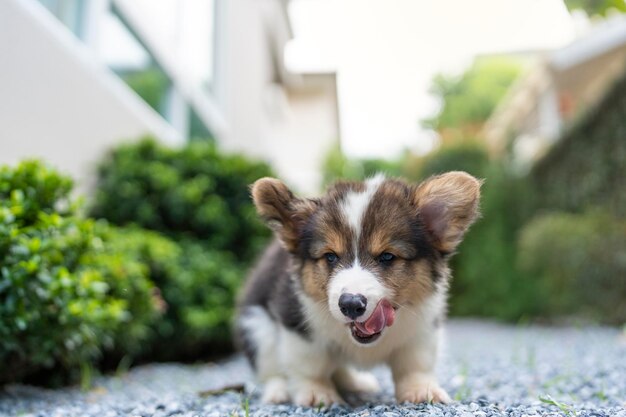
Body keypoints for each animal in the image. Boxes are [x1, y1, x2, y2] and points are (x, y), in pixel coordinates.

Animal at [234, 171, 478, 404]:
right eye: (330, 256)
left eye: (387, 256)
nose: (351, 305)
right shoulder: (297, 325)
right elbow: (310, 365)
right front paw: (317, 394)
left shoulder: (422, 329)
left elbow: (415, 364)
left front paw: (421, 391)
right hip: (257, 329)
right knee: (272, 372)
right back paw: (279, 391)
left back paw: (356, 382)